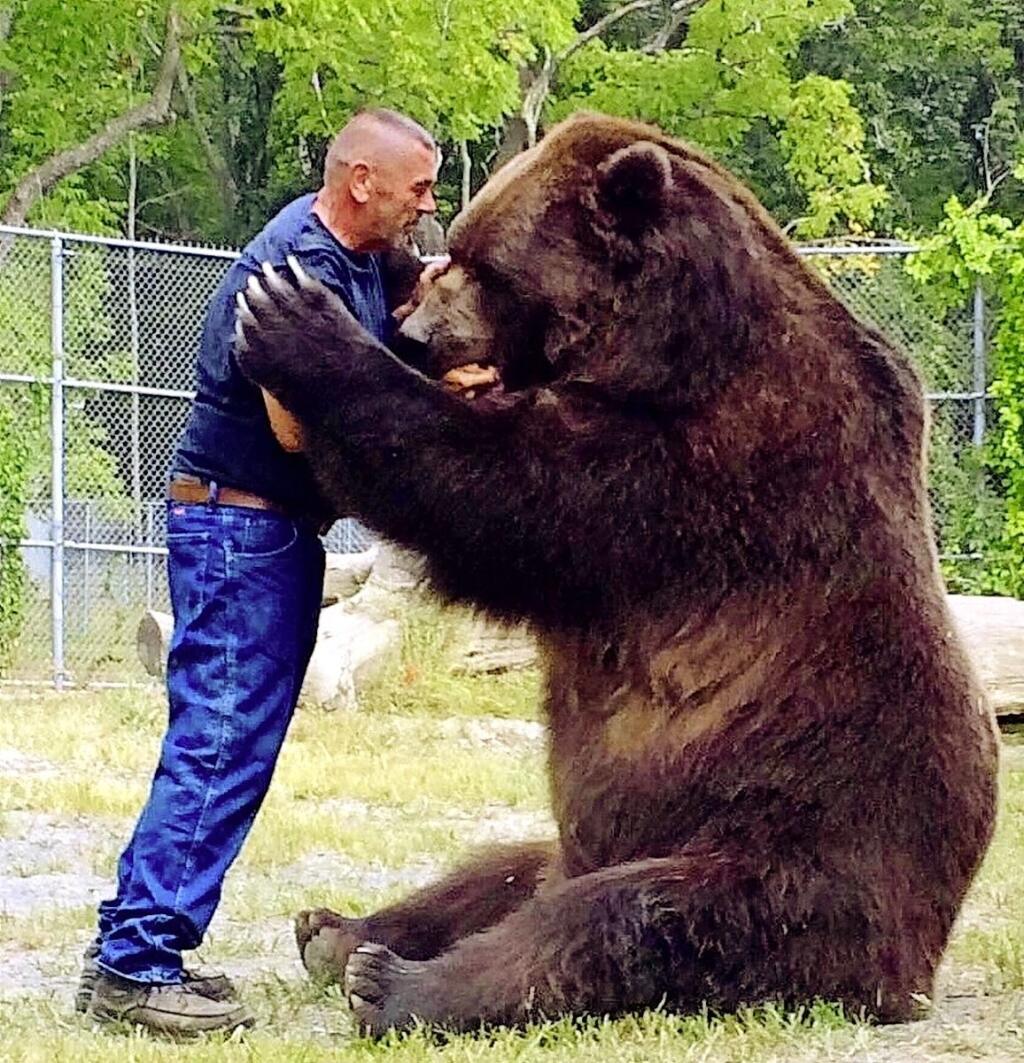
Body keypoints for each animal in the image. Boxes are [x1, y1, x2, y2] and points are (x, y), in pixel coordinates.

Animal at [233, 112, 999, 1033]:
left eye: (489, 266)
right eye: (458, 247)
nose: (417, 333)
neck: (673, 347)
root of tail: (921, 961)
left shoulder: (704, 467)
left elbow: (503, 491)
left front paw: (298, 324)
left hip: (792, 849)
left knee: (627, 920)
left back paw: (398, 984)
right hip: (586, 846)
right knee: (497, 870)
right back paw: (339, 930)